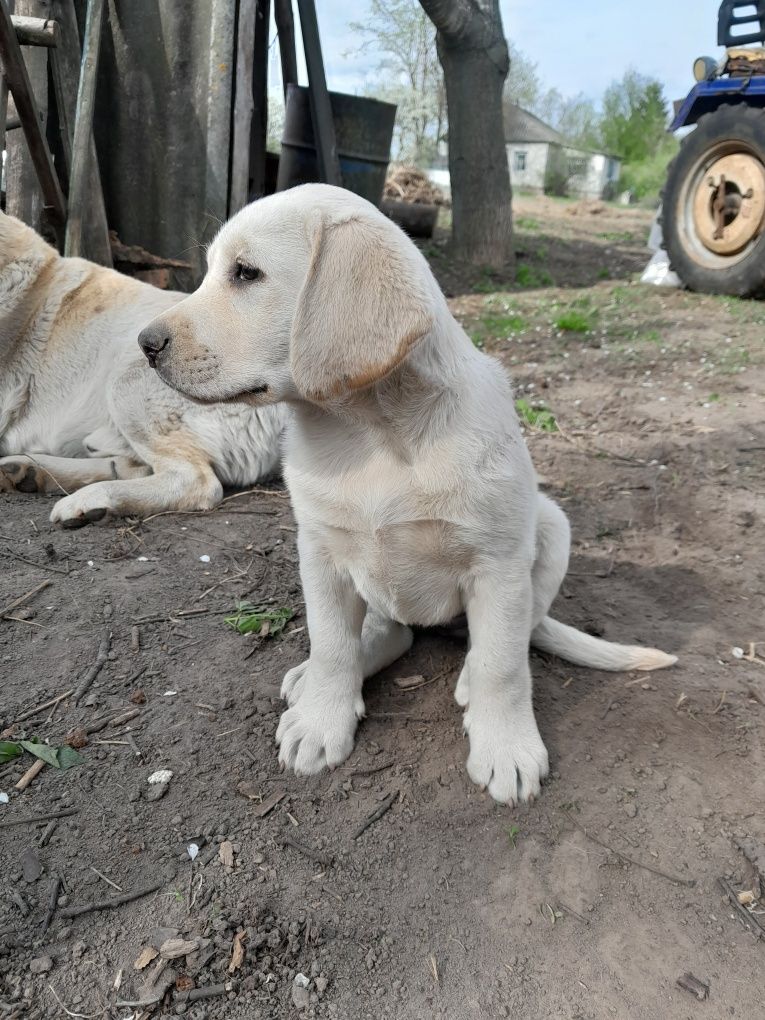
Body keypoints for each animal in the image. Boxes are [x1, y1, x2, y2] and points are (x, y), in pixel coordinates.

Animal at [139, 185, 677, 803]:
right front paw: (322, 718)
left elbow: (502, 664)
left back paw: (469, 677)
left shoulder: (498, 564)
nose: (144, 343)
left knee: (514, 635)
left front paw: (506, 746)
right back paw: (315, 675)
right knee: (385, 634)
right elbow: (332, 643)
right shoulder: (320, 553)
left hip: (552, 527)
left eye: (246, 273)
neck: (369, 433)